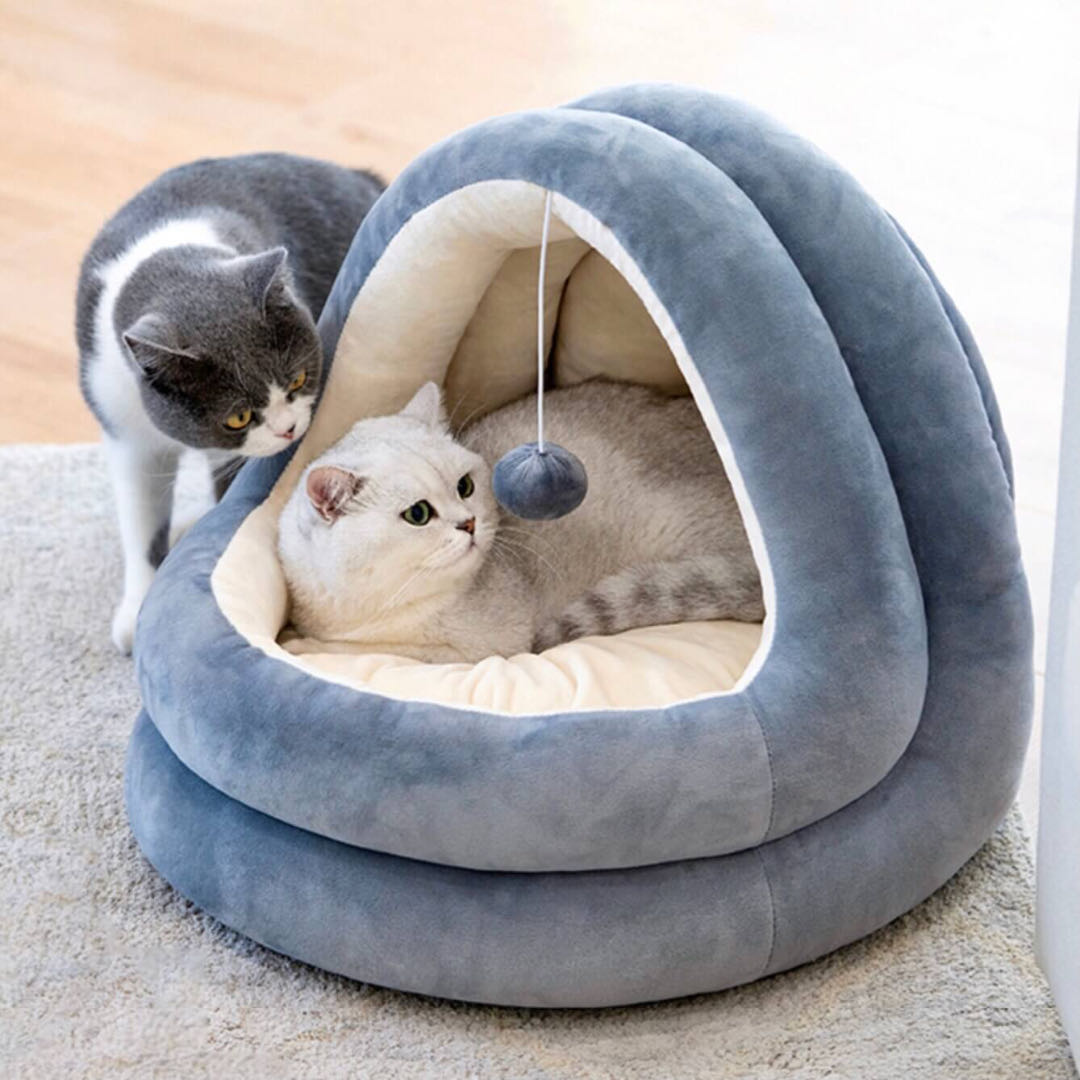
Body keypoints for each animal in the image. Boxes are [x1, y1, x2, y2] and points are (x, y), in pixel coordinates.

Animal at [76, 151, 382, 648]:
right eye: (238, 417)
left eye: (299, 378)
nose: (289, 429)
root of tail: (361, 176)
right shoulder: (120, 419)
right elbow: (140, 512)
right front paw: (136, 609)